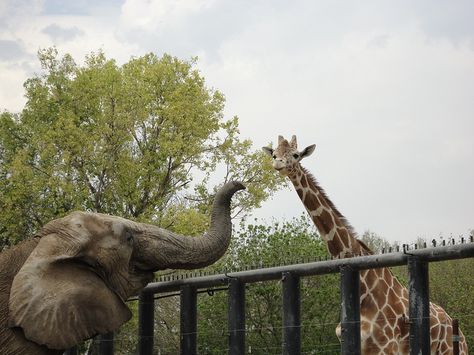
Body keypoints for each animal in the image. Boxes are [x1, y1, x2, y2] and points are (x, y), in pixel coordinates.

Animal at [264, 135, 468, 354]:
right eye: (274, 153)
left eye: (295, 155)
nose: (278, 164)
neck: (364, 291)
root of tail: (457, 328)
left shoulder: (385, 347)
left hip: (450, 349)